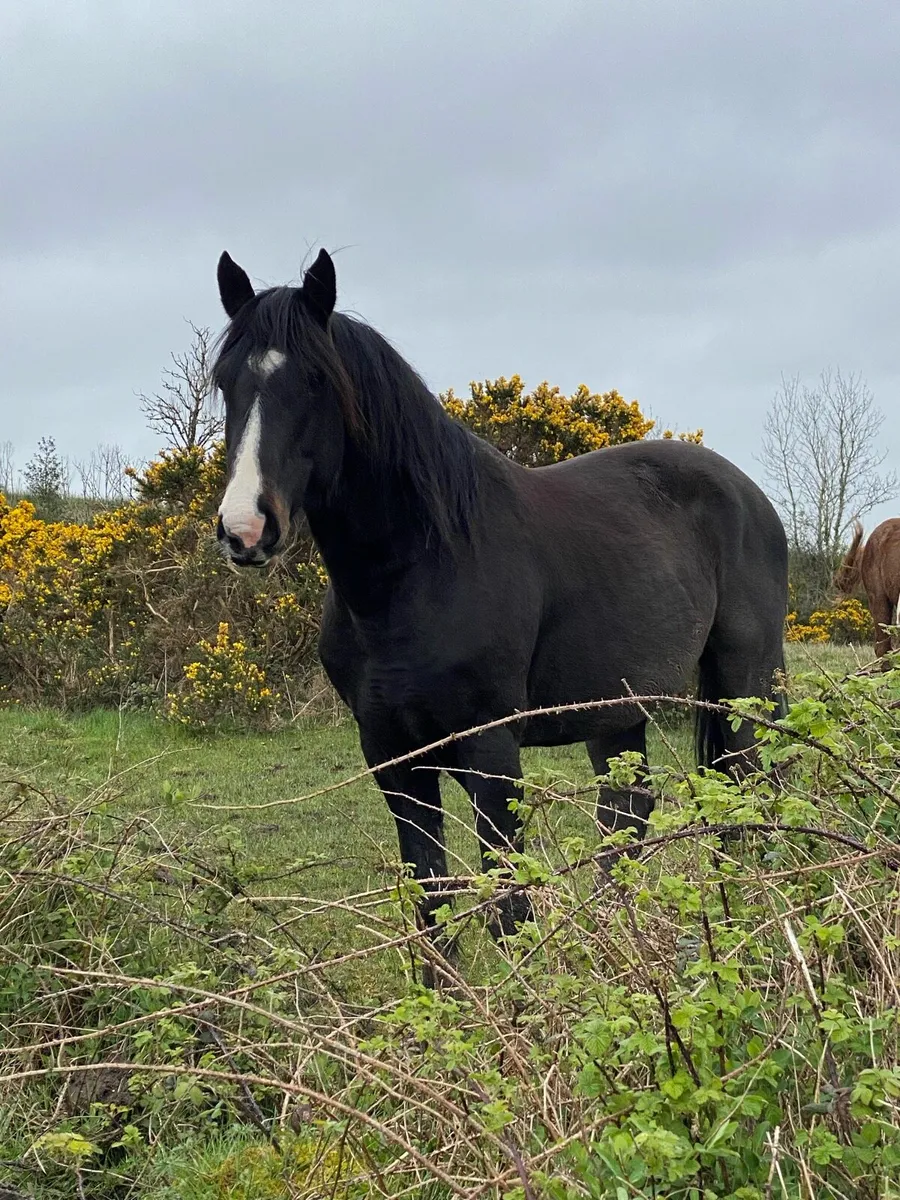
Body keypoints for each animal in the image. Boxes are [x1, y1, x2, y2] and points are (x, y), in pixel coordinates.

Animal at [212, 247, 789, 953]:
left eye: (317, 381)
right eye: (225, 381)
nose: (245, 528)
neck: (418, 571)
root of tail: (751, 495)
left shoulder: (490, 753)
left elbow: (508, 906)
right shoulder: (394, 757)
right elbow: (432, 907)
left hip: (741, 684)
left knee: (747, 793)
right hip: (617, 710)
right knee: (626, 816)